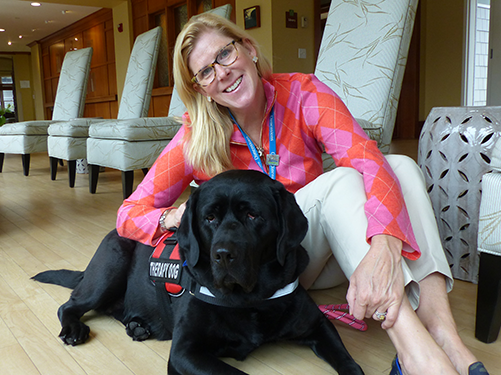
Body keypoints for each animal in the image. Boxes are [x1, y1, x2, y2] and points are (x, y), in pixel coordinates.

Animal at [35, 171, 364, 375]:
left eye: (252, 215)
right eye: (209, 218)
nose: (223, 254)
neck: (250, 301)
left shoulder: (318, 324)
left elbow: (348, 360)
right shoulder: (185, 352)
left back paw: (138, 326)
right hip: (110, 267)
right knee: (70, 305)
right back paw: (75, 328)